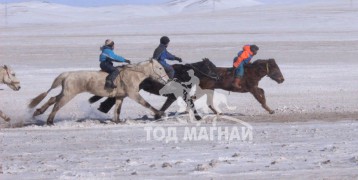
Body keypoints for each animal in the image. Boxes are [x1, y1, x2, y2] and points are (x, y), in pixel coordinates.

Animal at [28, 59, 169, 125]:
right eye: (160, 68)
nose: (167, 79)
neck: (133, 74)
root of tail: (66, 75)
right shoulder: (133, 95)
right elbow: (146, 104)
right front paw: (160, 113)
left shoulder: (120, 97)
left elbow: (117, 109)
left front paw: (117, 121)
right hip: (68, 95)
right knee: (57, 105)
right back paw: (49, 121)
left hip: (64, 93)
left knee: (52, 99)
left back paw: (38, 112)